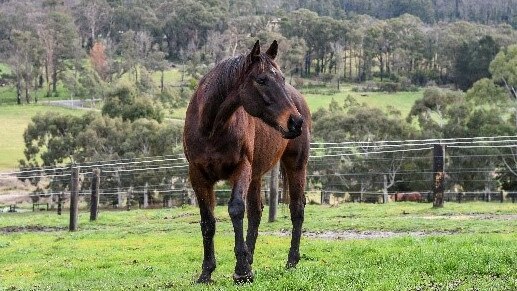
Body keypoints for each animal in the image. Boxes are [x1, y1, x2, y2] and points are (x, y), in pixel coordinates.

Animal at [182, 40, 310, 284]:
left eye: (282, 78)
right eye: (261, 80)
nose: (295, 122)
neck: (212, 129)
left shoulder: (241, 168)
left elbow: (236, 209)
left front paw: (242, 271)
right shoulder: (198, 176)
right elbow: (208, 222)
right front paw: (207, 272)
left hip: (296, 165)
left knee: (296, 209)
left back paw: (291, 261)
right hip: (257, 176)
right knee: (256, 212)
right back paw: (251, 257)